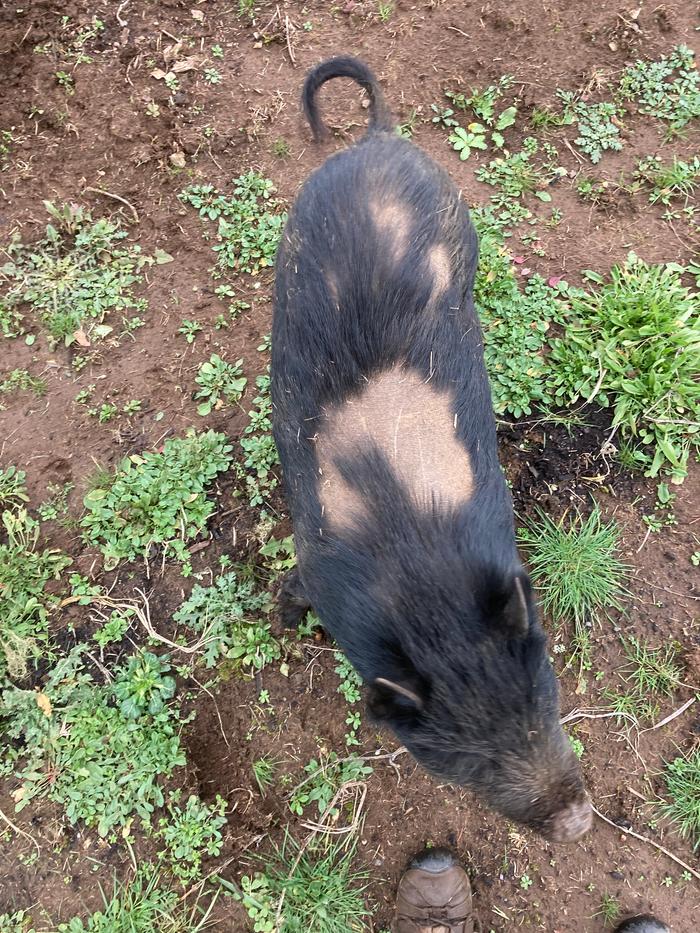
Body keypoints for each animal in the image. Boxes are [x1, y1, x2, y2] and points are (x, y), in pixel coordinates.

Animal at [270, 58, 592, 844]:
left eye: (545, 695)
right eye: (466, 759)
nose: (578, 822)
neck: (423, 585)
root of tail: (377, 142)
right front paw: (281, 620)